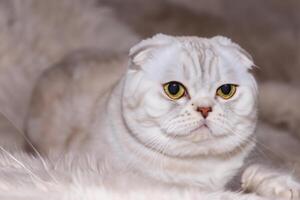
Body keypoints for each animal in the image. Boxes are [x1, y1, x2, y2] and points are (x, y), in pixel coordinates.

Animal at [24, 34, 300, 198]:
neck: (197, 168)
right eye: (174, 89)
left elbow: (255, 173)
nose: (204, 108)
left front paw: (283, 187)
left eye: (226, 91)